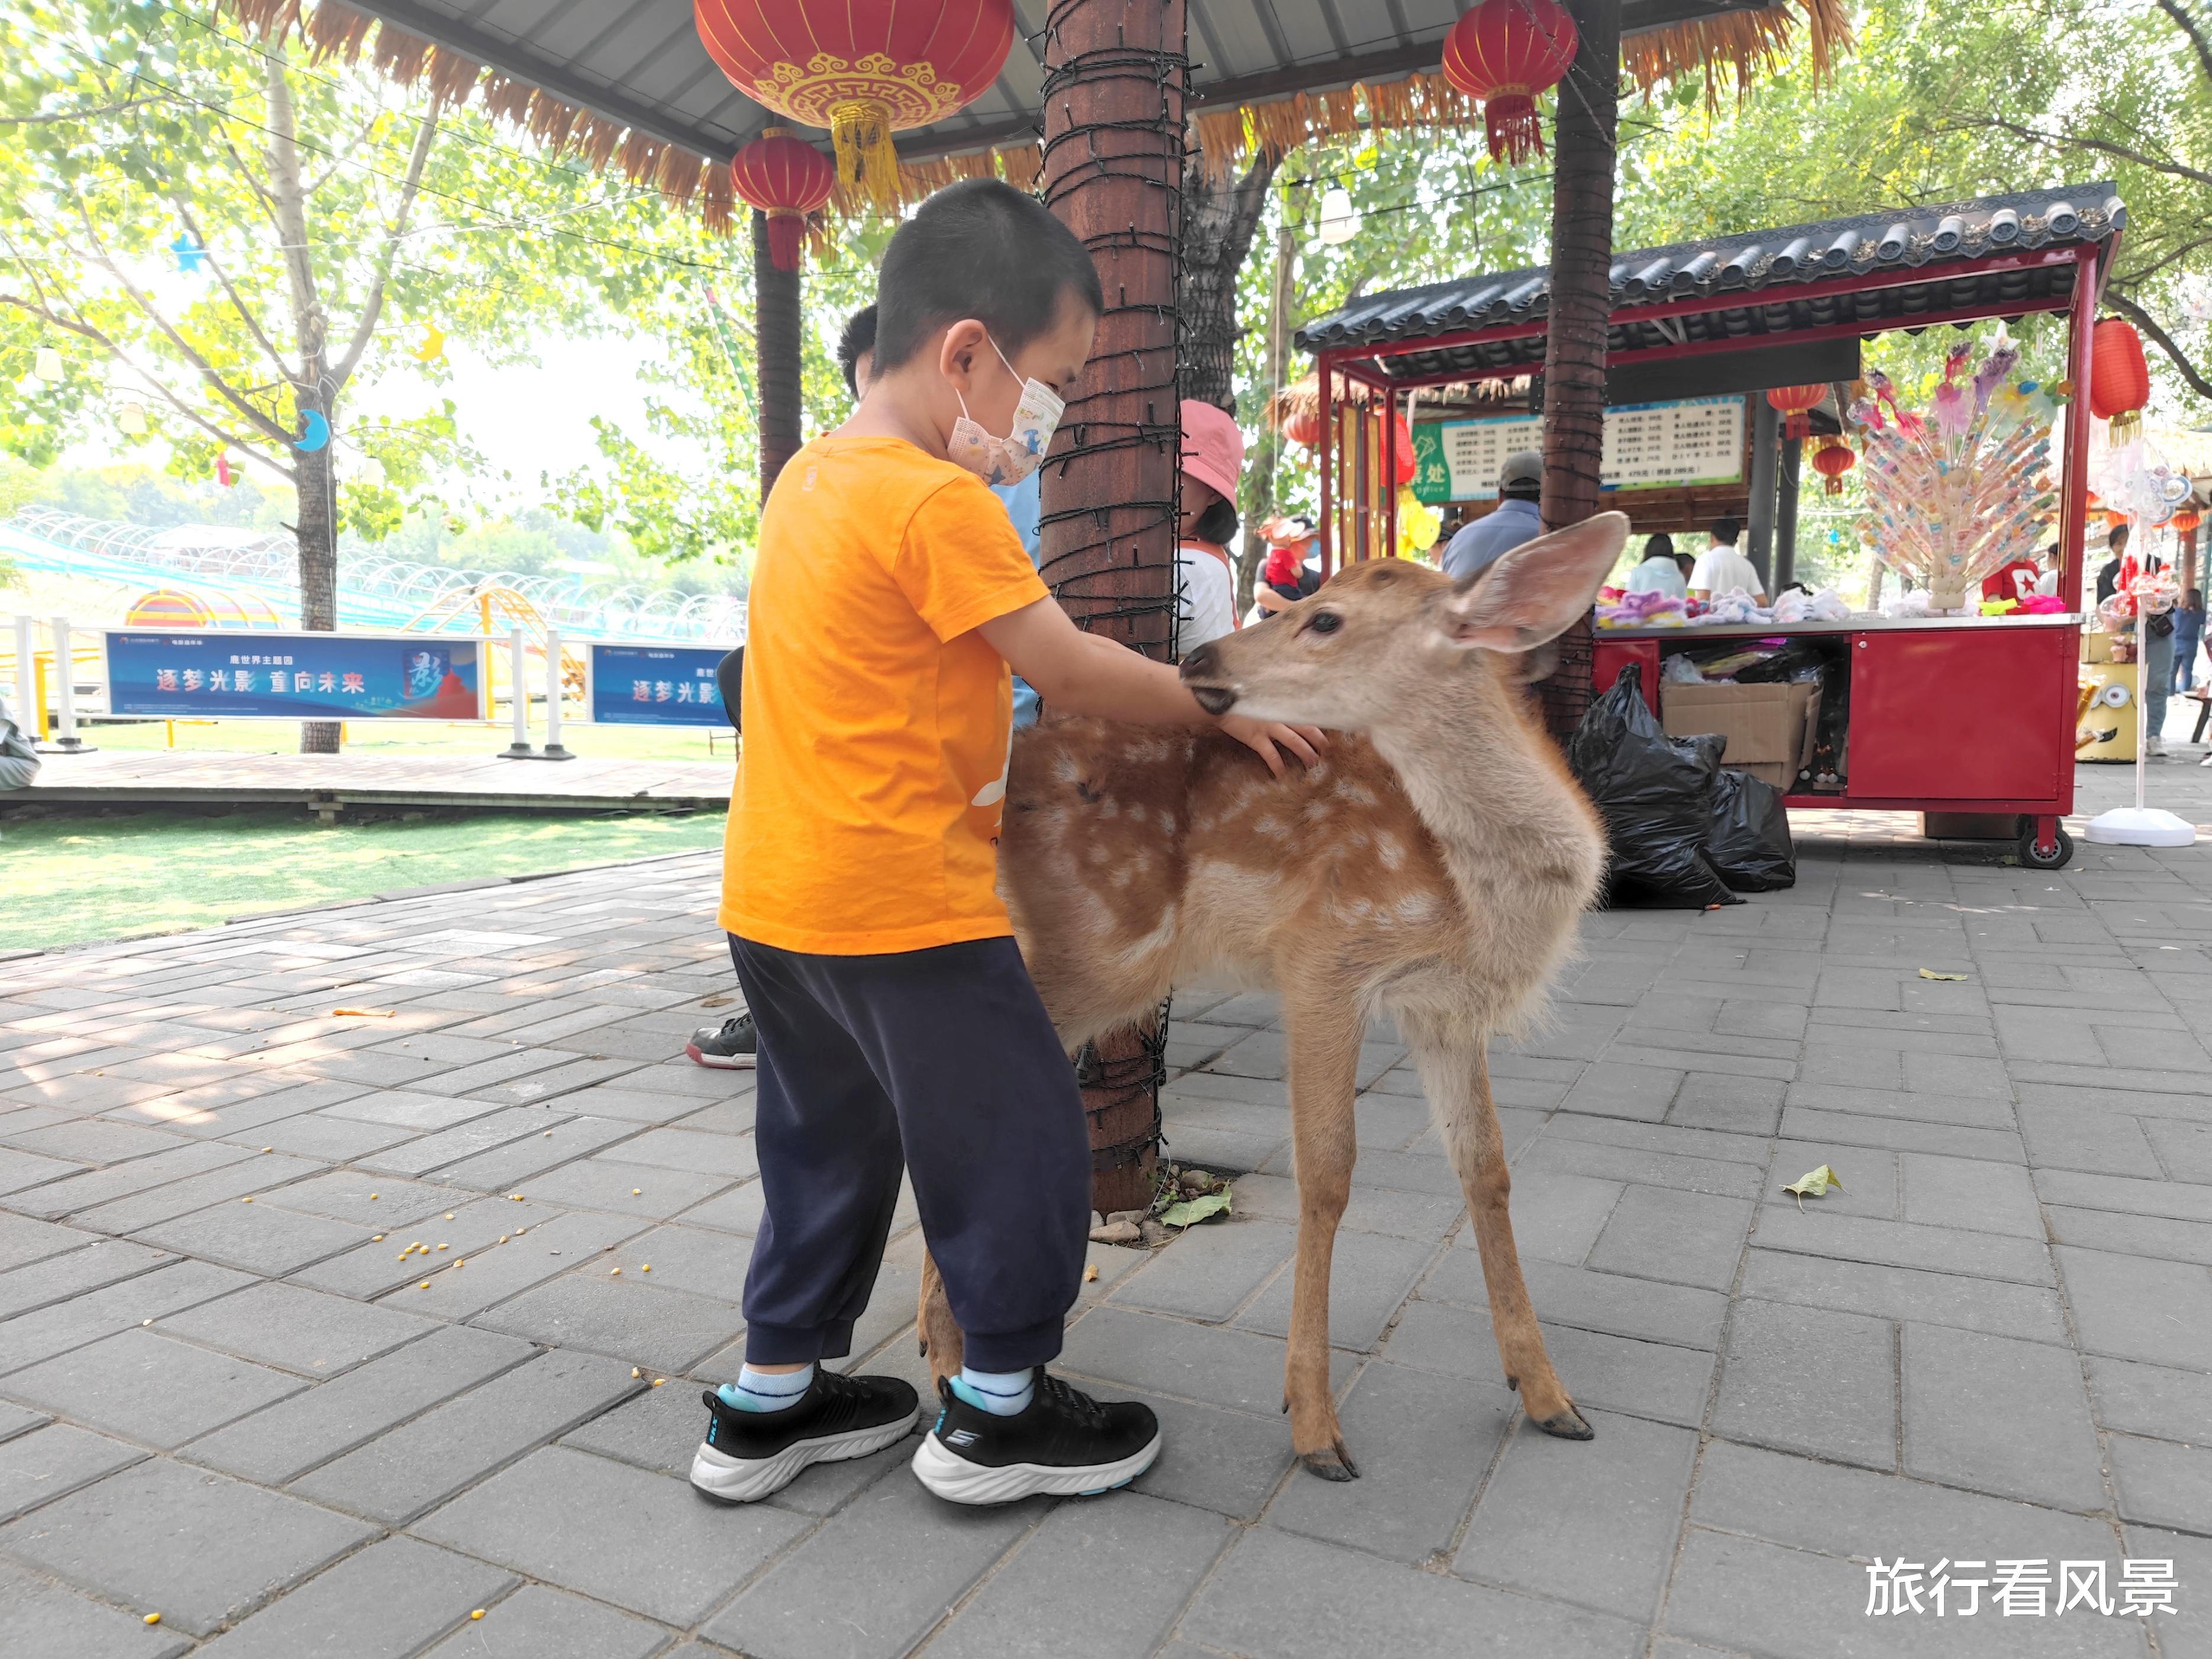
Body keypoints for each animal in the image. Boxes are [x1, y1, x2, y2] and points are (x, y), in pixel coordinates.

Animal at [915, 517, 1627, 1477]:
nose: (1198, 657)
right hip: (1093, 951)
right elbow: (1326, 1173)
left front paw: (1548, 1396)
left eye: (1324, 618)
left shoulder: (1440, 1006)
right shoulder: (1324, 953)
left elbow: (1486, 1167)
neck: (1470, 892)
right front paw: (1314, 1426)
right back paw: (946, 1360)